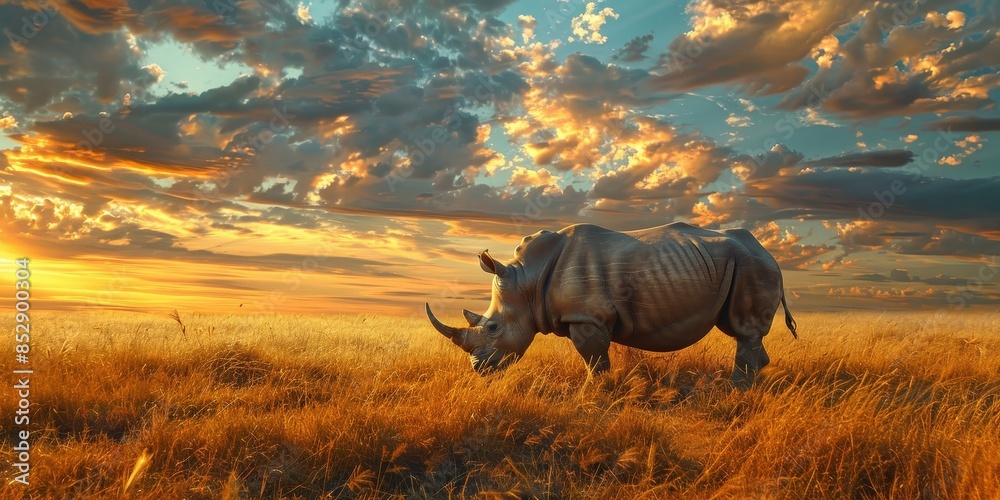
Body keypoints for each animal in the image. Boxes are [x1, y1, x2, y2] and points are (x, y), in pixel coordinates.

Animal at [426, 222, 797, 388]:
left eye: (492, 327)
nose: (478, 369)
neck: (527, 280)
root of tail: (768, 250)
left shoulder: (587, 317)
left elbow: (594, 360)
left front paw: (593, 393)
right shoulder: (585, 317)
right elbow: (595, 359)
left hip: (752, 265)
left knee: (744, 330)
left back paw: (734, 390)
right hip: (741, 265)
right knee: (744, 333)